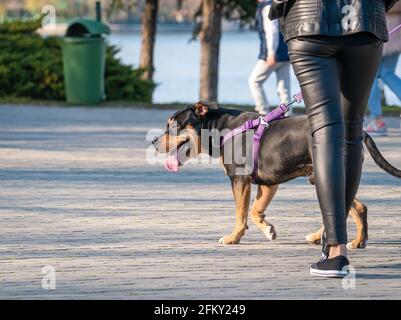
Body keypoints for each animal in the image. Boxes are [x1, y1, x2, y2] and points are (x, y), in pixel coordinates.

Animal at [152, 101, 400, 249]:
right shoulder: (268, 183)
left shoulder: (239, 180)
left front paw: (233, 237)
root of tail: (355, 131)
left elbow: (241, 213)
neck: (221, 127)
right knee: (354, 207)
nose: (153, 141)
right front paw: (267, 228)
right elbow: (255, 210)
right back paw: (348, 239)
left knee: (347, 207)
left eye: (173, 125)